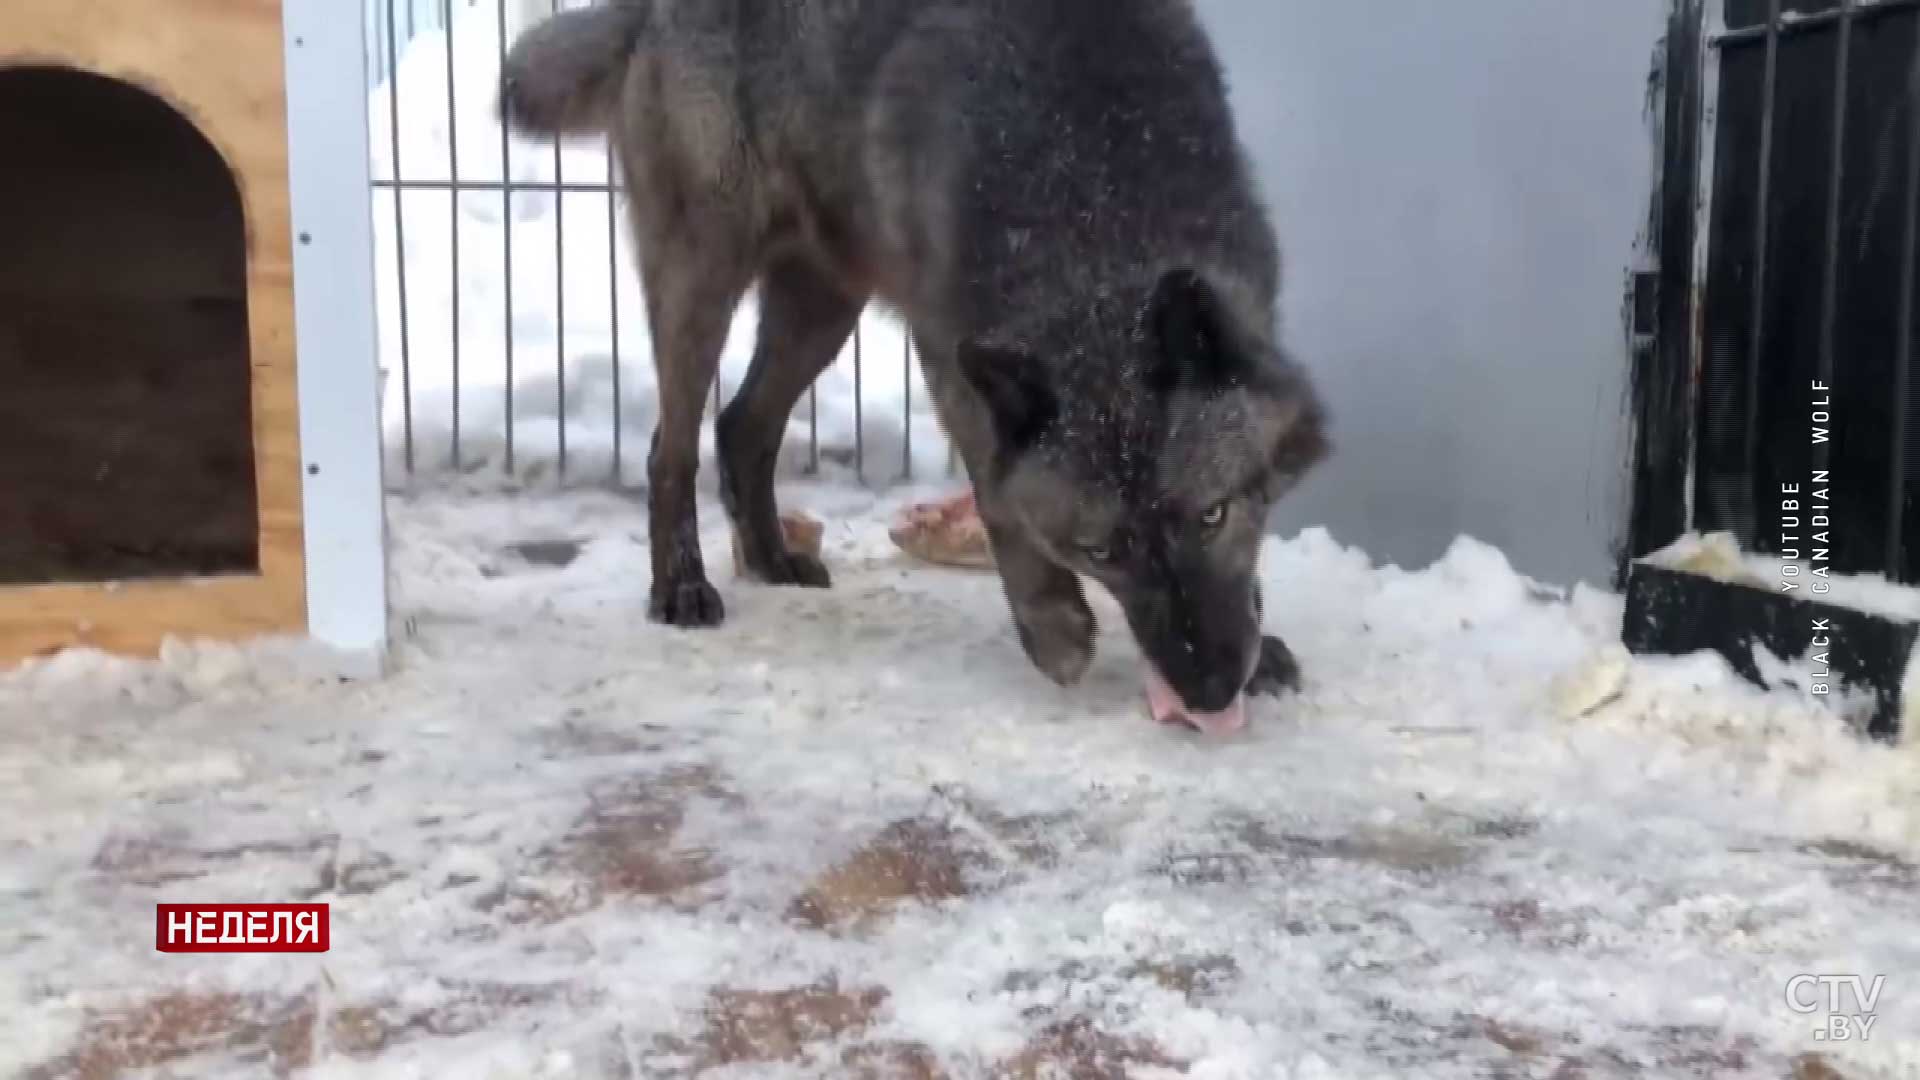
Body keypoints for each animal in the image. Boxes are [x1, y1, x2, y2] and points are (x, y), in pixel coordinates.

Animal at [503, 0, 1328, 730]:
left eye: (1213, 515)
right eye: (1101, 551)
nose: (1210, 691)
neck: (1093, 208)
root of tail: (648, 10)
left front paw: (1263, 647)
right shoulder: (949, 357)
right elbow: (1001, 501)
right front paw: (1053, 628)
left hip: (823, 308)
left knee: (741, 425)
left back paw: (772, 559)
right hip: (703, 281)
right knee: (670, 448)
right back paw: (680, 586)